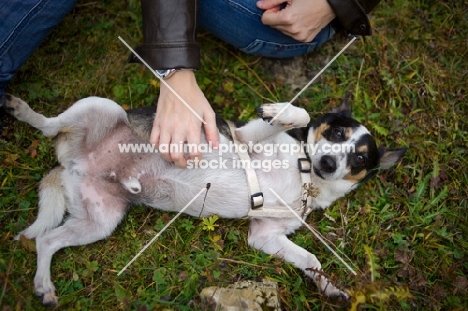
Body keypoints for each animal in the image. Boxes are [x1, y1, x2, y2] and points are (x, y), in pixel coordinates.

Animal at [1, 93, 406, 308]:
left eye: (359, 160)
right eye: (336, 133)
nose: (329, 163)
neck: (305, 174)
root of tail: (69, 164)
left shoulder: (266, 236)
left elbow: (311, 260)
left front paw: (329, 288)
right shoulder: (245, 138)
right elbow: (300, 114)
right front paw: (280, 111)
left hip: (98, 221)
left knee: (47, 241)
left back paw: (45, 287)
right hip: (100, 107)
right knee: (49, 126)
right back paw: (23, 111)